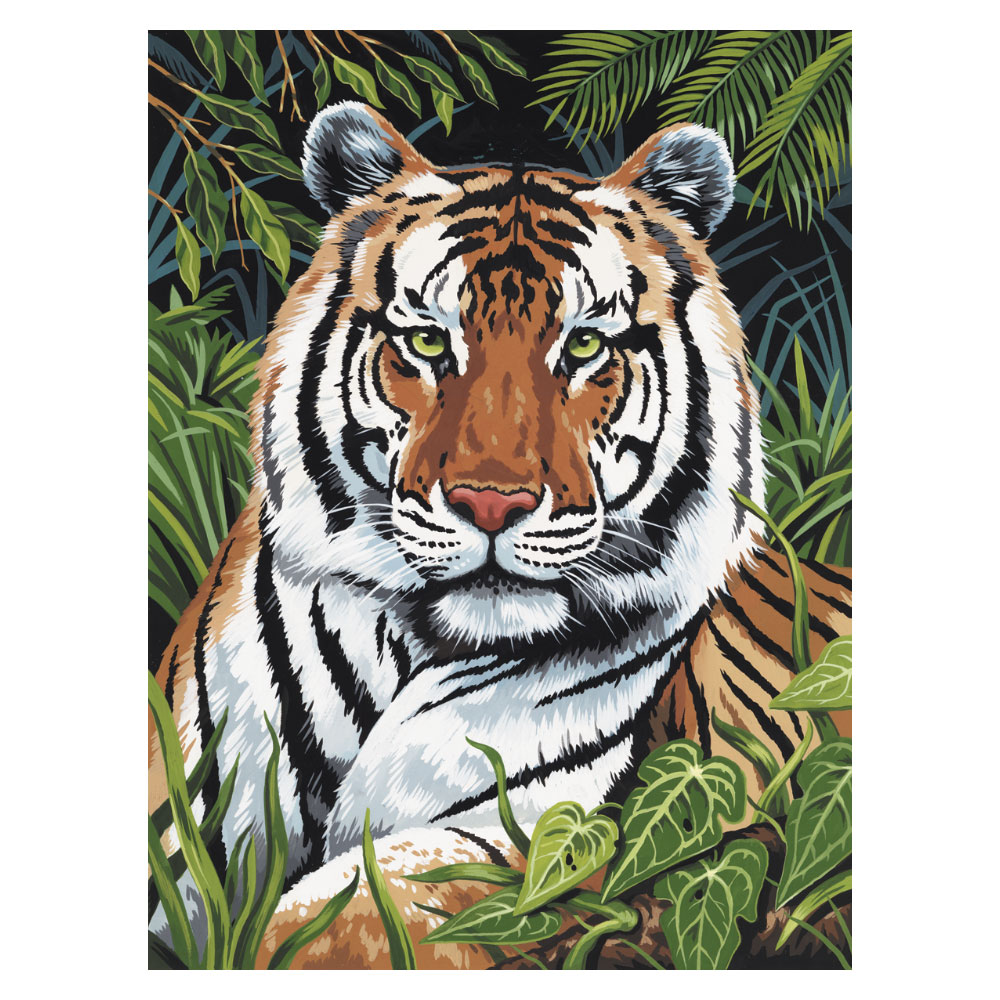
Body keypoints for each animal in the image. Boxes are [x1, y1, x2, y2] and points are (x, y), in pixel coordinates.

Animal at [148, 101, 851, 970]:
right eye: (426, 341)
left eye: (583, 345)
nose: (491, 504)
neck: (407, 648)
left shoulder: (551, 839)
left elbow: (358, 912)